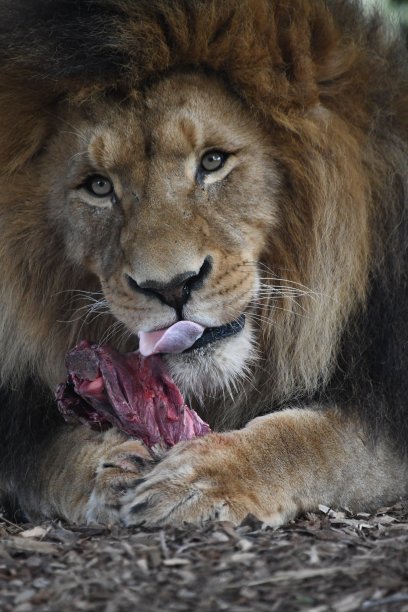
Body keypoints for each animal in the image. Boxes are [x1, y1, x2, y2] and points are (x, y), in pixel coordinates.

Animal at [0, 0, 408, 524]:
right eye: (98, 186)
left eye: (213, 161)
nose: (171, 287)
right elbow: (40, 454)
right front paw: (105, 466)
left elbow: (317, 441)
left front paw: (208, 477)